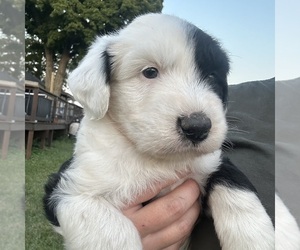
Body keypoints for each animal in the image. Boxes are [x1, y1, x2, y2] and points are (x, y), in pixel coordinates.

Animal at [43, 14, 276, 250]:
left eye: (211, 76)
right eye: (150, 72)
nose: (197, 126)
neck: (156, 159)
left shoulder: (213, 162)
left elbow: (235, 186)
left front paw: (257, 240)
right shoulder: (68, 189)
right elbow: (110, 228)